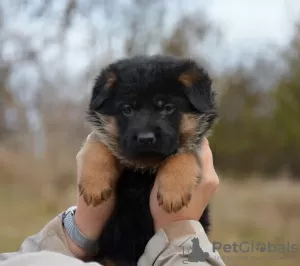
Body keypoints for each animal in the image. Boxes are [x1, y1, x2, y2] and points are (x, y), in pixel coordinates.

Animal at [78, 55, 217, 264]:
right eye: (127, 109)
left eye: (168, 108)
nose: (145, 138)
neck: (144, 168)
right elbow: (98, 144)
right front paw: (94, 184)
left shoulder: (195, 145)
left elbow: (184, 153)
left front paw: (173, 191)